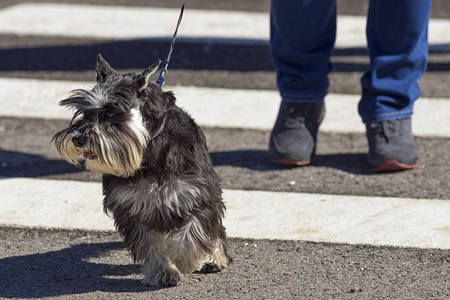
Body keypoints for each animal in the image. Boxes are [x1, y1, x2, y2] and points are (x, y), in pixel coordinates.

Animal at [53, 54, 232, 286]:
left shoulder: (198, 195)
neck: (148, 153)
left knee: (215, 231)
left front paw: (186, 261)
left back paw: (215, 258)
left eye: (109, 113)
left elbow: (191, 233)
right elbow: (149, 245)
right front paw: (162, 273)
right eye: (84, 113)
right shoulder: (131, 208)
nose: (77, 139)